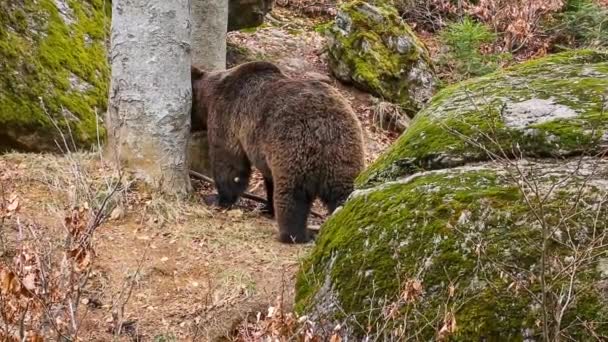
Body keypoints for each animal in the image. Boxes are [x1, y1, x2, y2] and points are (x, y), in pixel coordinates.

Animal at [192, 61, 364, 243]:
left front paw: (217, 198)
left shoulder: (227, 116)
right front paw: (267, 207)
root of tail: (323, 128)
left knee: (292, 196)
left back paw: (294, 234)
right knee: (344, 191)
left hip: (293, 146)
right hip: (344, 152)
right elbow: (268, 179)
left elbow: (229, 164)